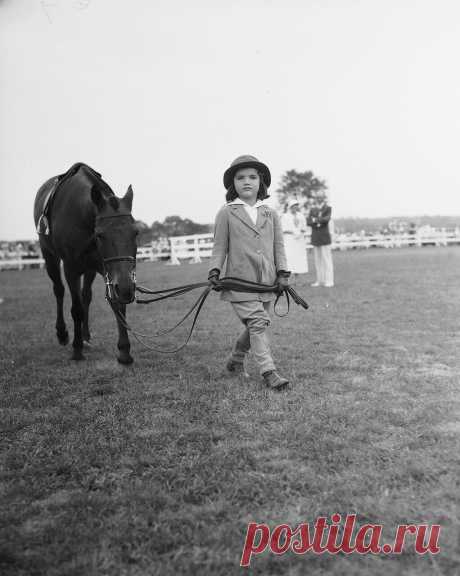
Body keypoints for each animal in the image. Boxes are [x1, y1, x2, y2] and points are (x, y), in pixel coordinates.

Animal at [33, 162, 137, 362]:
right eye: (100, 235)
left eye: (136, 232)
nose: (127, 288)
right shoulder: (71, 268)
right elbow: (76, 309)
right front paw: (76, 348)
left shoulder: (107, 268)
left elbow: (116, 303)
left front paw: (124, 350)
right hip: (49, 257)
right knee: (59, 290)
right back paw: (63, 333)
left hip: (89, 268)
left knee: (86, 295)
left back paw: (85, 335)